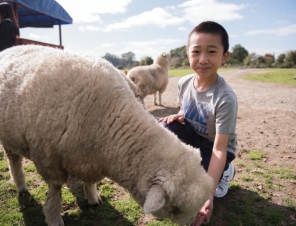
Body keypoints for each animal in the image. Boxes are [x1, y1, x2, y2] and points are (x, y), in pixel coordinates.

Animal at [0, 45, 213, 226]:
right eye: (175, 209)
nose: (194, 222)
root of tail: (10, 48)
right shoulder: (48, 160)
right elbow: (55, 191)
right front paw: (53, 217)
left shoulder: (89, 158)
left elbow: (89, 181)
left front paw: (93, 197)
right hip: (8, 137)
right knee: (14, 160)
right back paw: (21, 185)